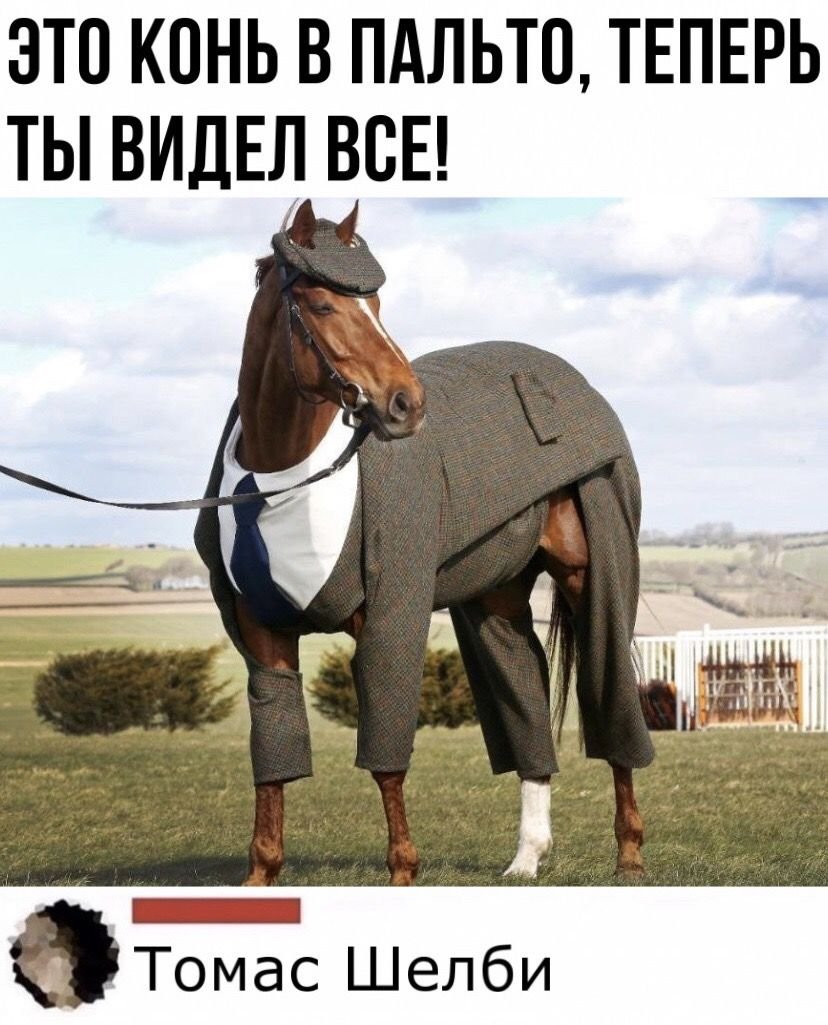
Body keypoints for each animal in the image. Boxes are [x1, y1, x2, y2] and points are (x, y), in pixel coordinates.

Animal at [194, 199, 654, 886]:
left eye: (376, 302)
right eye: (322, 303)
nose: (405, 404)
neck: (284, 479)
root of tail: (568, 380)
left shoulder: (389, 616)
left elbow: (386, 757)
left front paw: (403, 870)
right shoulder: (262, 635)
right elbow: (274, 759)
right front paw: (261, 873)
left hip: (592, 573)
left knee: (610, 691)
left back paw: (629, 851)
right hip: (495, 600)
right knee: (525, 699)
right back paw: (526, 857)